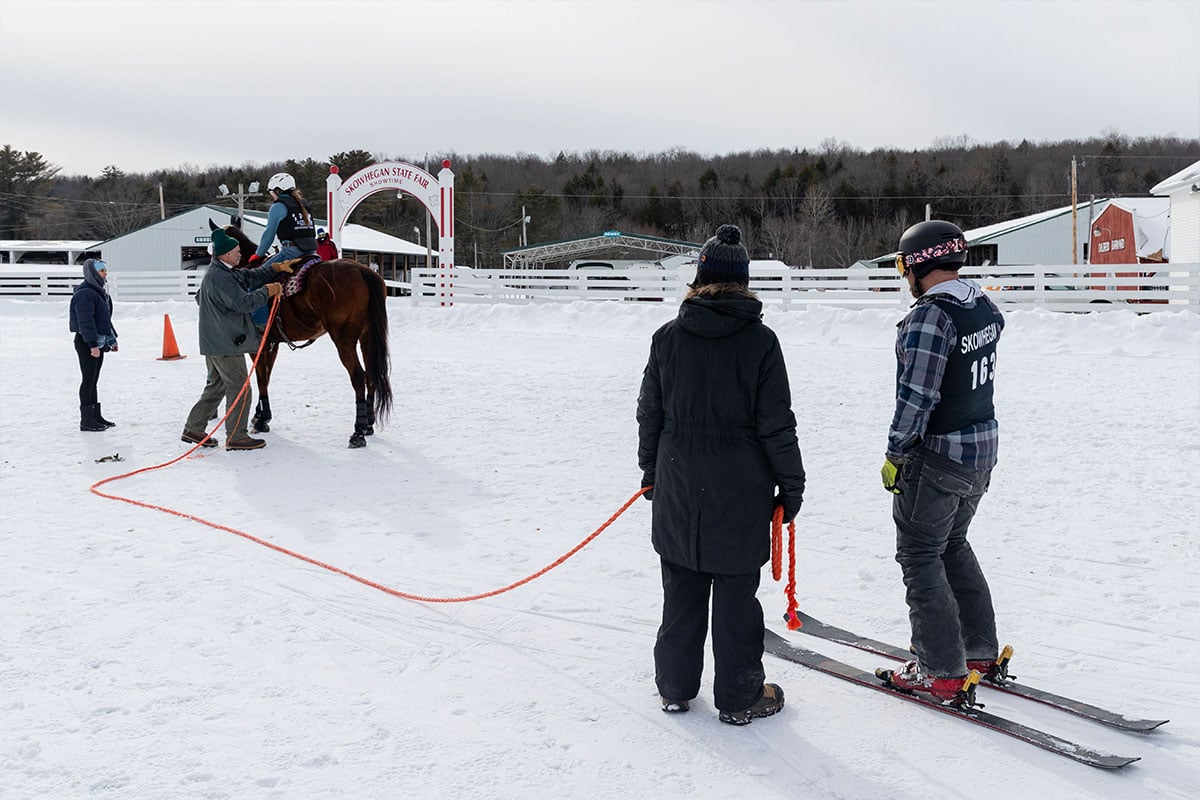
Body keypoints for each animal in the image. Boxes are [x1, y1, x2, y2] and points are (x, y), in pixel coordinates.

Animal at [208, 221, 391, 448]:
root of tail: (362, 271)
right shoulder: (273, 344)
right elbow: (266, 375)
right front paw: (261, 415)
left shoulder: (259, 345)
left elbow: (260, 377)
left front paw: (261, 419)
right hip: (367, 338)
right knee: (371, 374)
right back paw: (368, 424)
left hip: (344, 340)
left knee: (359, 376)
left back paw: (358, 431)